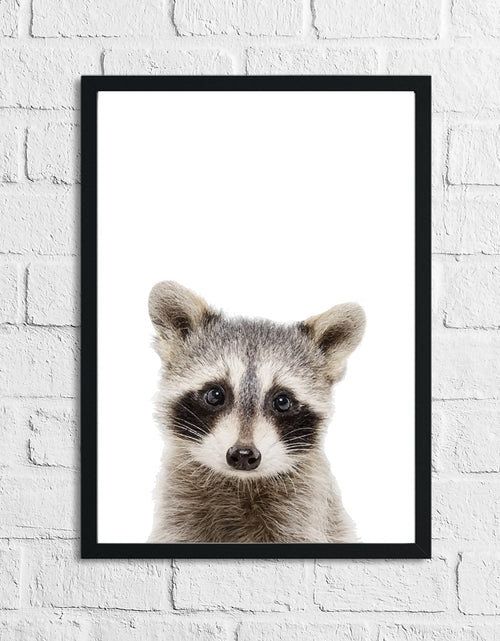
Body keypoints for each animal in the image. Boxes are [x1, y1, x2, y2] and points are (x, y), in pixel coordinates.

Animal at [147, 281, 366, 544]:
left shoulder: (302, 510)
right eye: (215, 395)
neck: (241, 483)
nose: (243, 454)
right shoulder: (179, 508)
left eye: (282, 401)